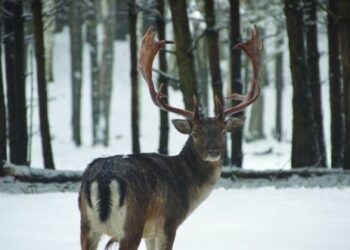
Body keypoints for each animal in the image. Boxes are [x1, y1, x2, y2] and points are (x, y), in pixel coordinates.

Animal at [78, 26, 262, 249]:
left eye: (223, 132)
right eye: (195, 133)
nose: (213, 150)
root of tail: (104, 180)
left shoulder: (150, 232)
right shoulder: (168, 223)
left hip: (86, 225)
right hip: (131, 225)